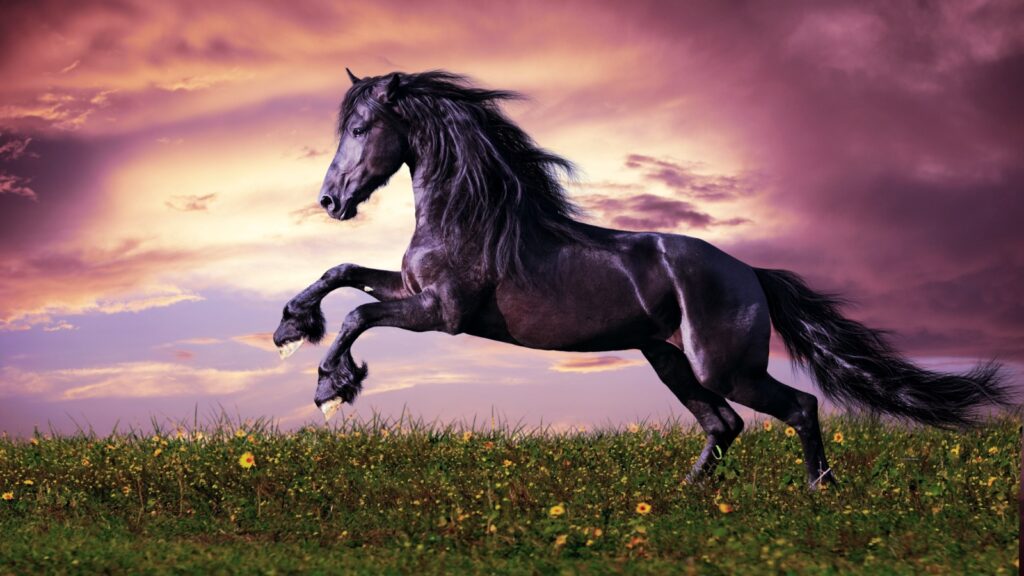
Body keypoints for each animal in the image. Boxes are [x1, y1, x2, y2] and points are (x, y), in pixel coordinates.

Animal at [273, 69, 1011, 488]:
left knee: (795, 408)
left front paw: (331, 386)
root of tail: (751, 273)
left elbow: (357, 315)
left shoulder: (442, 313)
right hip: (669, 359)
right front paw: (290, 327)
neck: (471, 217)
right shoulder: (413, 291)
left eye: (363, 126)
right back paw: (685, 498)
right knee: (724, 426)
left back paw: (819, 492)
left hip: (722, 365)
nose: (331, 201)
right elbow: (343, 274)